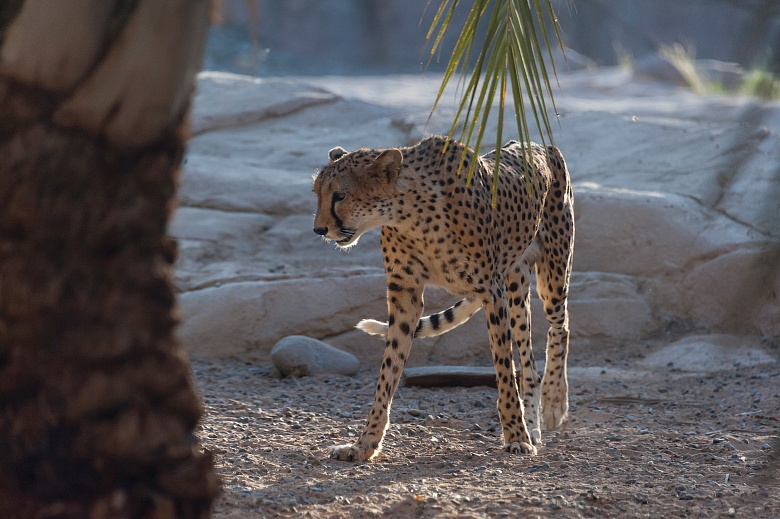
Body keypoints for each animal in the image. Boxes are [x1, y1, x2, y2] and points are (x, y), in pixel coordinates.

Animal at [310, 136, 572, 462]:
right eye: (317, 193)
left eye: (340, 195)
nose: (319, 229)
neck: (407, 210)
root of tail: (537, 144)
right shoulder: (404, 293)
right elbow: (388, 370)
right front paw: (365, 443)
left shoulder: (491, 291)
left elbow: (503, 368)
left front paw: (516, 436)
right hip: (515, 284)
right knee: (528, 360)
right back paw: (534, 426)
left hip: (552, 273)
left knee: (560, 326)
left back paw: (553, 404)